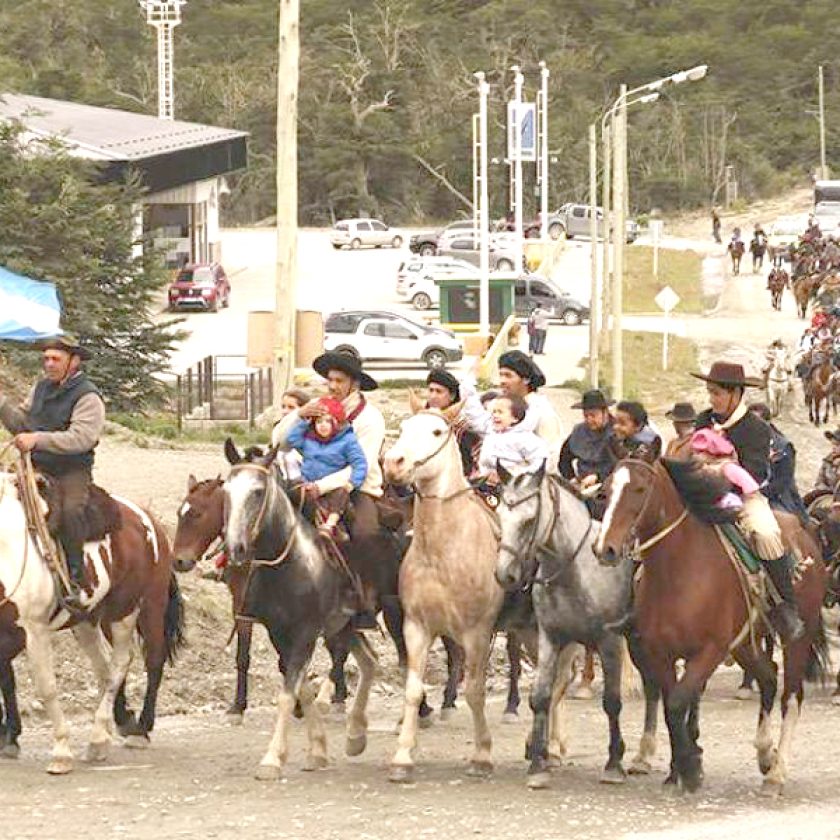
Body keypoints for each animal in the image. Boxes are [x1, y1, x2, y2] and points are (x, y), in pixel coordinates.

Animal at [0, 466, 182, 776]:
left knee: (135, 662)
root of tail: (147, 519)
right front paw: (10, 737)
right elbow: (7, 681)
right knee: (105, 668)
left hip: (136, 610)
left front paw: (61, 750)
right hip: (87, 621)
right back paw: (109, 730)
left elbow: (47, 687)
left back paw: (129, 732)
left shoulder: (34, 631)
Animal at [492, 466, 664, 788]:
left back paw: (643, 756)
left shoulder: (609, 643)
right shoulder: (551, 638)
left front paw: (614, 764)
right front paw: (538, 766)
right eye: (499, 516)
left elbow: (612, 702)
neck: (575, 571)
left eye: (529, 520)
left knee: (652, 686)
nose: (504, 574)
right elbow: (541, 696)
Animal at [596, 460, 828, 796]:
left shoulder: (709, 651)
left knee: (791, 698)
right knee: (769, 678)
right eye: (605, 490)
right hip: (744, 645)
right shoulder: (660, 653)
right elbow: (671, 707)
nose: (606, 549)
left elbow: (679, 702)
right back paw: (764, 753)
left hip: (797, 639)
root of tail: (805, 534)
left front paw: (691, 769)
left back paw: (776, 774)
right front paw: (680, 770)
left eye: (639, 489)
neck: (680, 572)